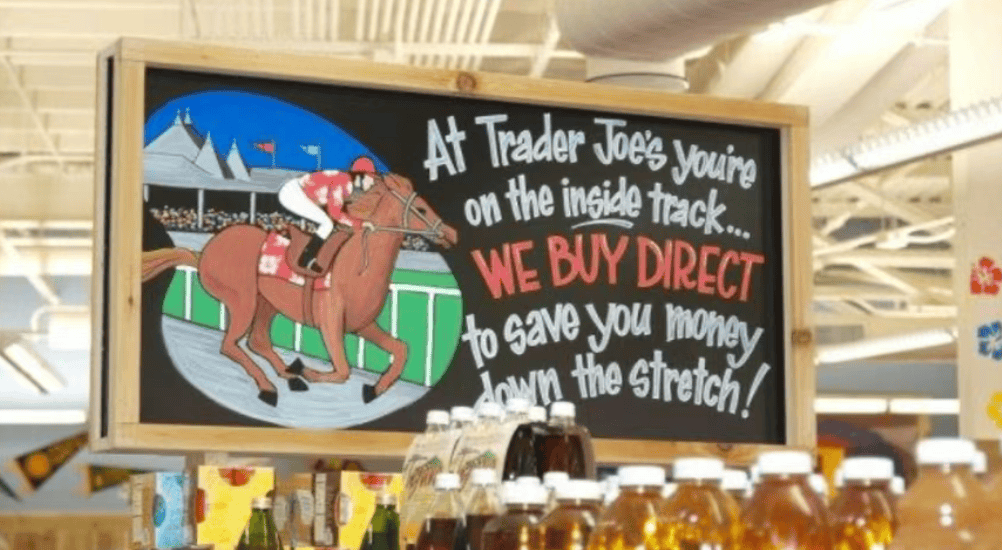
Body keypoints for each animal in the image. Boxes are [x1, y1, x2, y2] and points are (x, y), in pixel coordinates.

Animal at [141, 174, 459, 406]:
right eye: (421, 209)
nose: (452, 233)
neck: (357, 266)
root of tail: (203, 254)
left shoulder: (363, 324)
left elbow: (402, 349)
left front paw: (374, 389)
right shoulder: (331, 321)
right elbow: (342, 370)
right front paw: (306, 369)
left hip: (266, 303)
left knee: (257, 341)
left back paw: (287, 375)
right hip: (243, 299)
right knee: (230, 345)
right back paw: (270, 386)